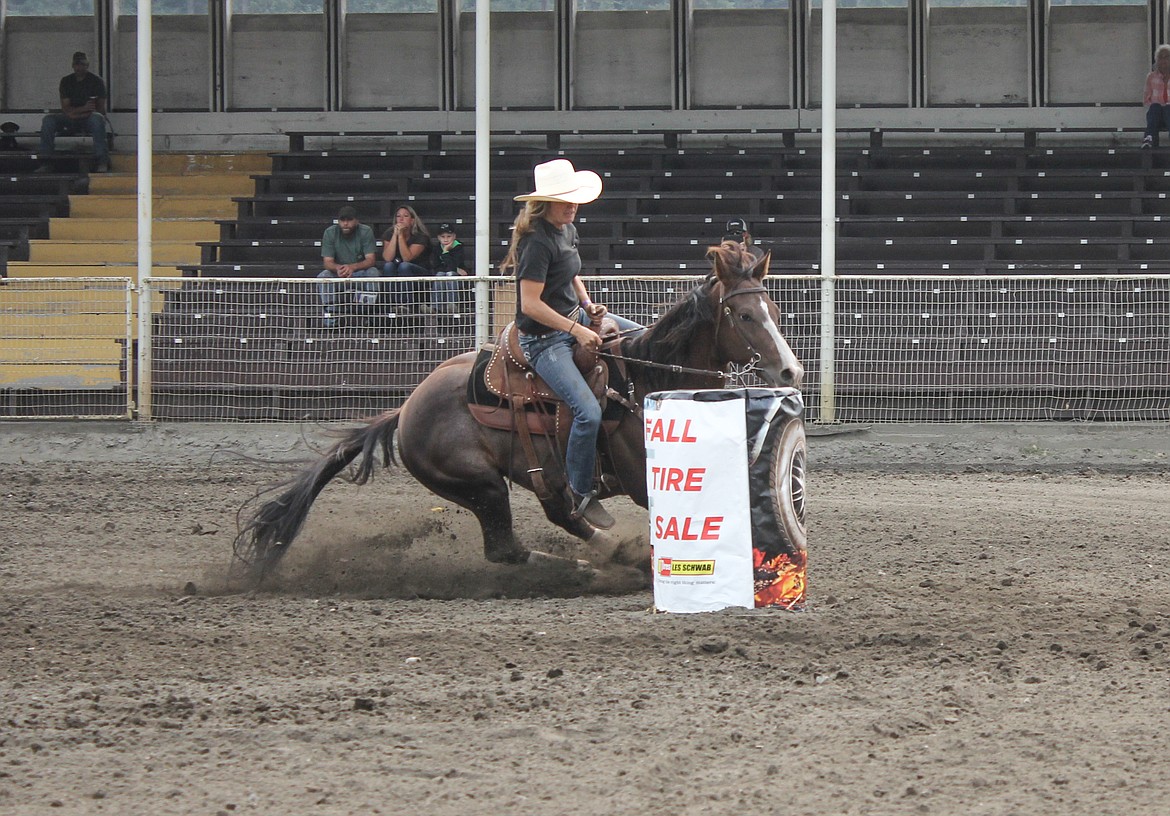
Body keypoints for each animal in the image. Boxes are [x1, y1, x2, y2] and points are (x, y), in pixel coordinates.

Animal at [237, 244, 804, 576]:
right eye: (745, 315)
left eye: (775, 310)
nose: (791, 372)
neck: (646, 380)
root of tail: (404, 409)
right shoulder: (644, 481)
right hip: (480, 486)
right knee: (504, 548)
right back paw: (588, 568)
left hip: (535, 478)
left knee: (564, 514)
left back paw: (602, 549)